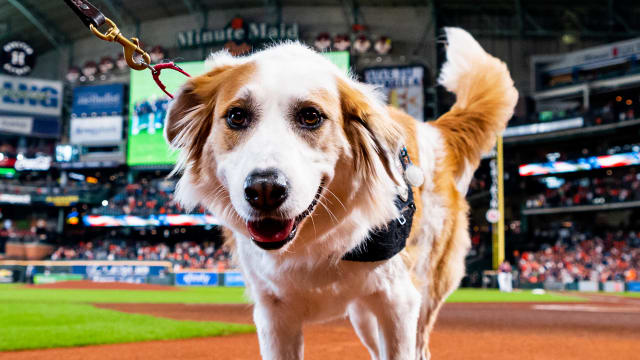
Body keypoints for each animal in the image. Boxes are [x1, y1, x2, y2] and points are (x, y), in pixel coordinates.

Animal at [166, 26, 520, 358]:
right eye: (237, 116)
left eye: (311, 116)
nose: (264, 189)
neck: (312, 241)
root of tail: (434, 132)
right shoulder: (274, 316)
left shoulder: (399, 302)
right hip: (364, 316)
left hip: (421, 293)